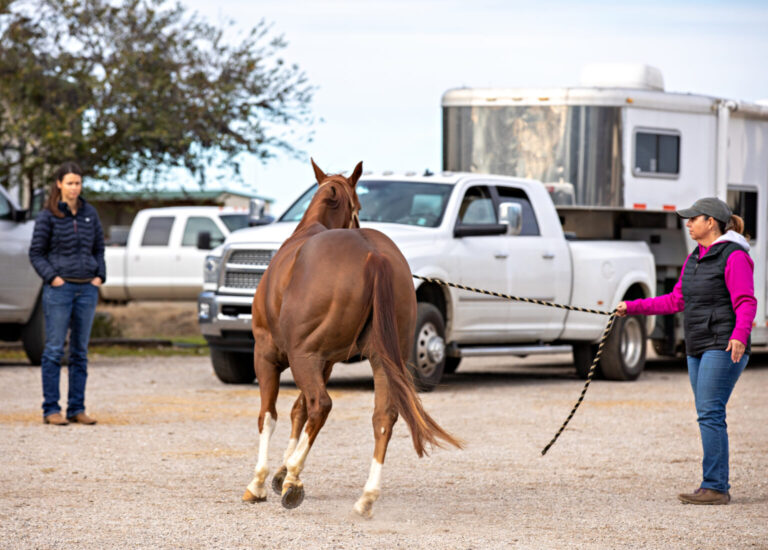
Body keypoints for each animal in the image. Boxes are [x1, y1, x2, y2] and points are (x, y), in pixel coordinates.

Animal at [243, 160, 462, 516]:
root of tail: (374, 255)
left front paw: (263, 480)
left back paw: (294, 479)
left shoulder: (268, 354)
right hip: (382, 359)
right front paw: (282, 471)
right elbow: (298, 411)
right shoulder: (326, 362)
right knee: (383, 417)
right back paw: (366, 496)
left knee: (321, 405)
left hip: (304, 358)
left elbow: (270, 415)